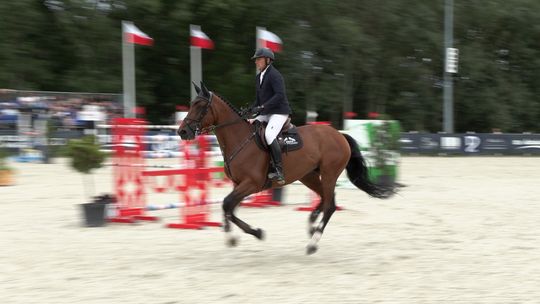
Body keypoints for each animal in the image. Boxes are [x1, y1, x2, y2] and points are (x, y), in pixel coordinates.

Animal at [178, 82, 392, 254]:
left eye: (200, 106)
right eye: (191, 104)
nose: (182, 132)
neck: (239, 139)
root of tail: (339, 135)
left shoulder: (251, 183)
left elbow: (227, 204)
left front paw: (250, 234)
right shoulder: (238, 184)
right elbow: (229, 208)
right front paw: (241, 235)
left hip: (329, 173)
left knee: (330, 205)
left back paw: (313, 243)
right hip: (309, 176)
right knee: (324, 198)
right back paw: (312, 224)